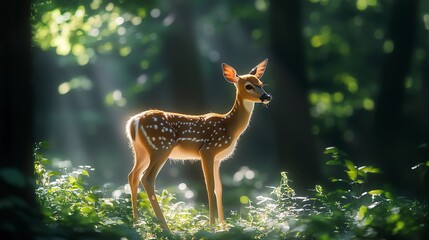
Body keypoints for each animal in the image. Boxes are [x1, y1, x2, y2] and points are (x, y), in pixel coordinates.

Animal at [124, 58, 270, 231]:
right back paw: (166, 228)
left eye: (261, 83)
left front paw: (224, 227)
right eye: (248, 85)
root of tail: (133, 122)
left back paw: (137, 223)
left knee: (133, 175)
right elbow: (210, 187)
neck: (230, 127)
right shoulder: (208, 150)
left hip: (141, 151)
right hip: (161, 147)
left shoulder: (218, 159)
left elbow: (219, 189)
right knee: (147, 178)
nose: (267, 96)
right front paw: (212, 227)